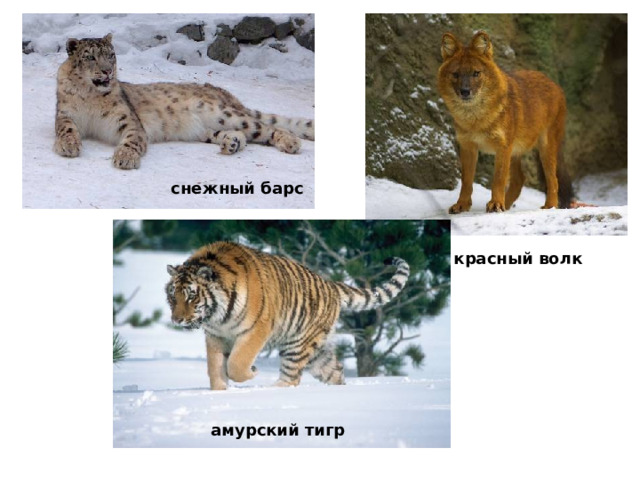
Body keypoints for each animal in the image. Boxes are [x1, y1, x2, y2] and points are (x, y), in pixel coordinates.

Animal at [165, 241, 410, 390]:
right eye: (172, 297)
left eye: (191, 296)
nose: (176, 320)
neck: (217, 316)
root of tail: (331, 285)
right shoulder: (215, 336)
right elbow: (215, 368)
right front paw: (219, 391)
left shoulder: (256, 329)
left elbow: (236, 363)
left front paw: (252, 372)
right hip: (317, 352)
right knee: (335, 371)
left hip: (297, 344)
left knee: (291, 378)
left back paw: (273, 391)